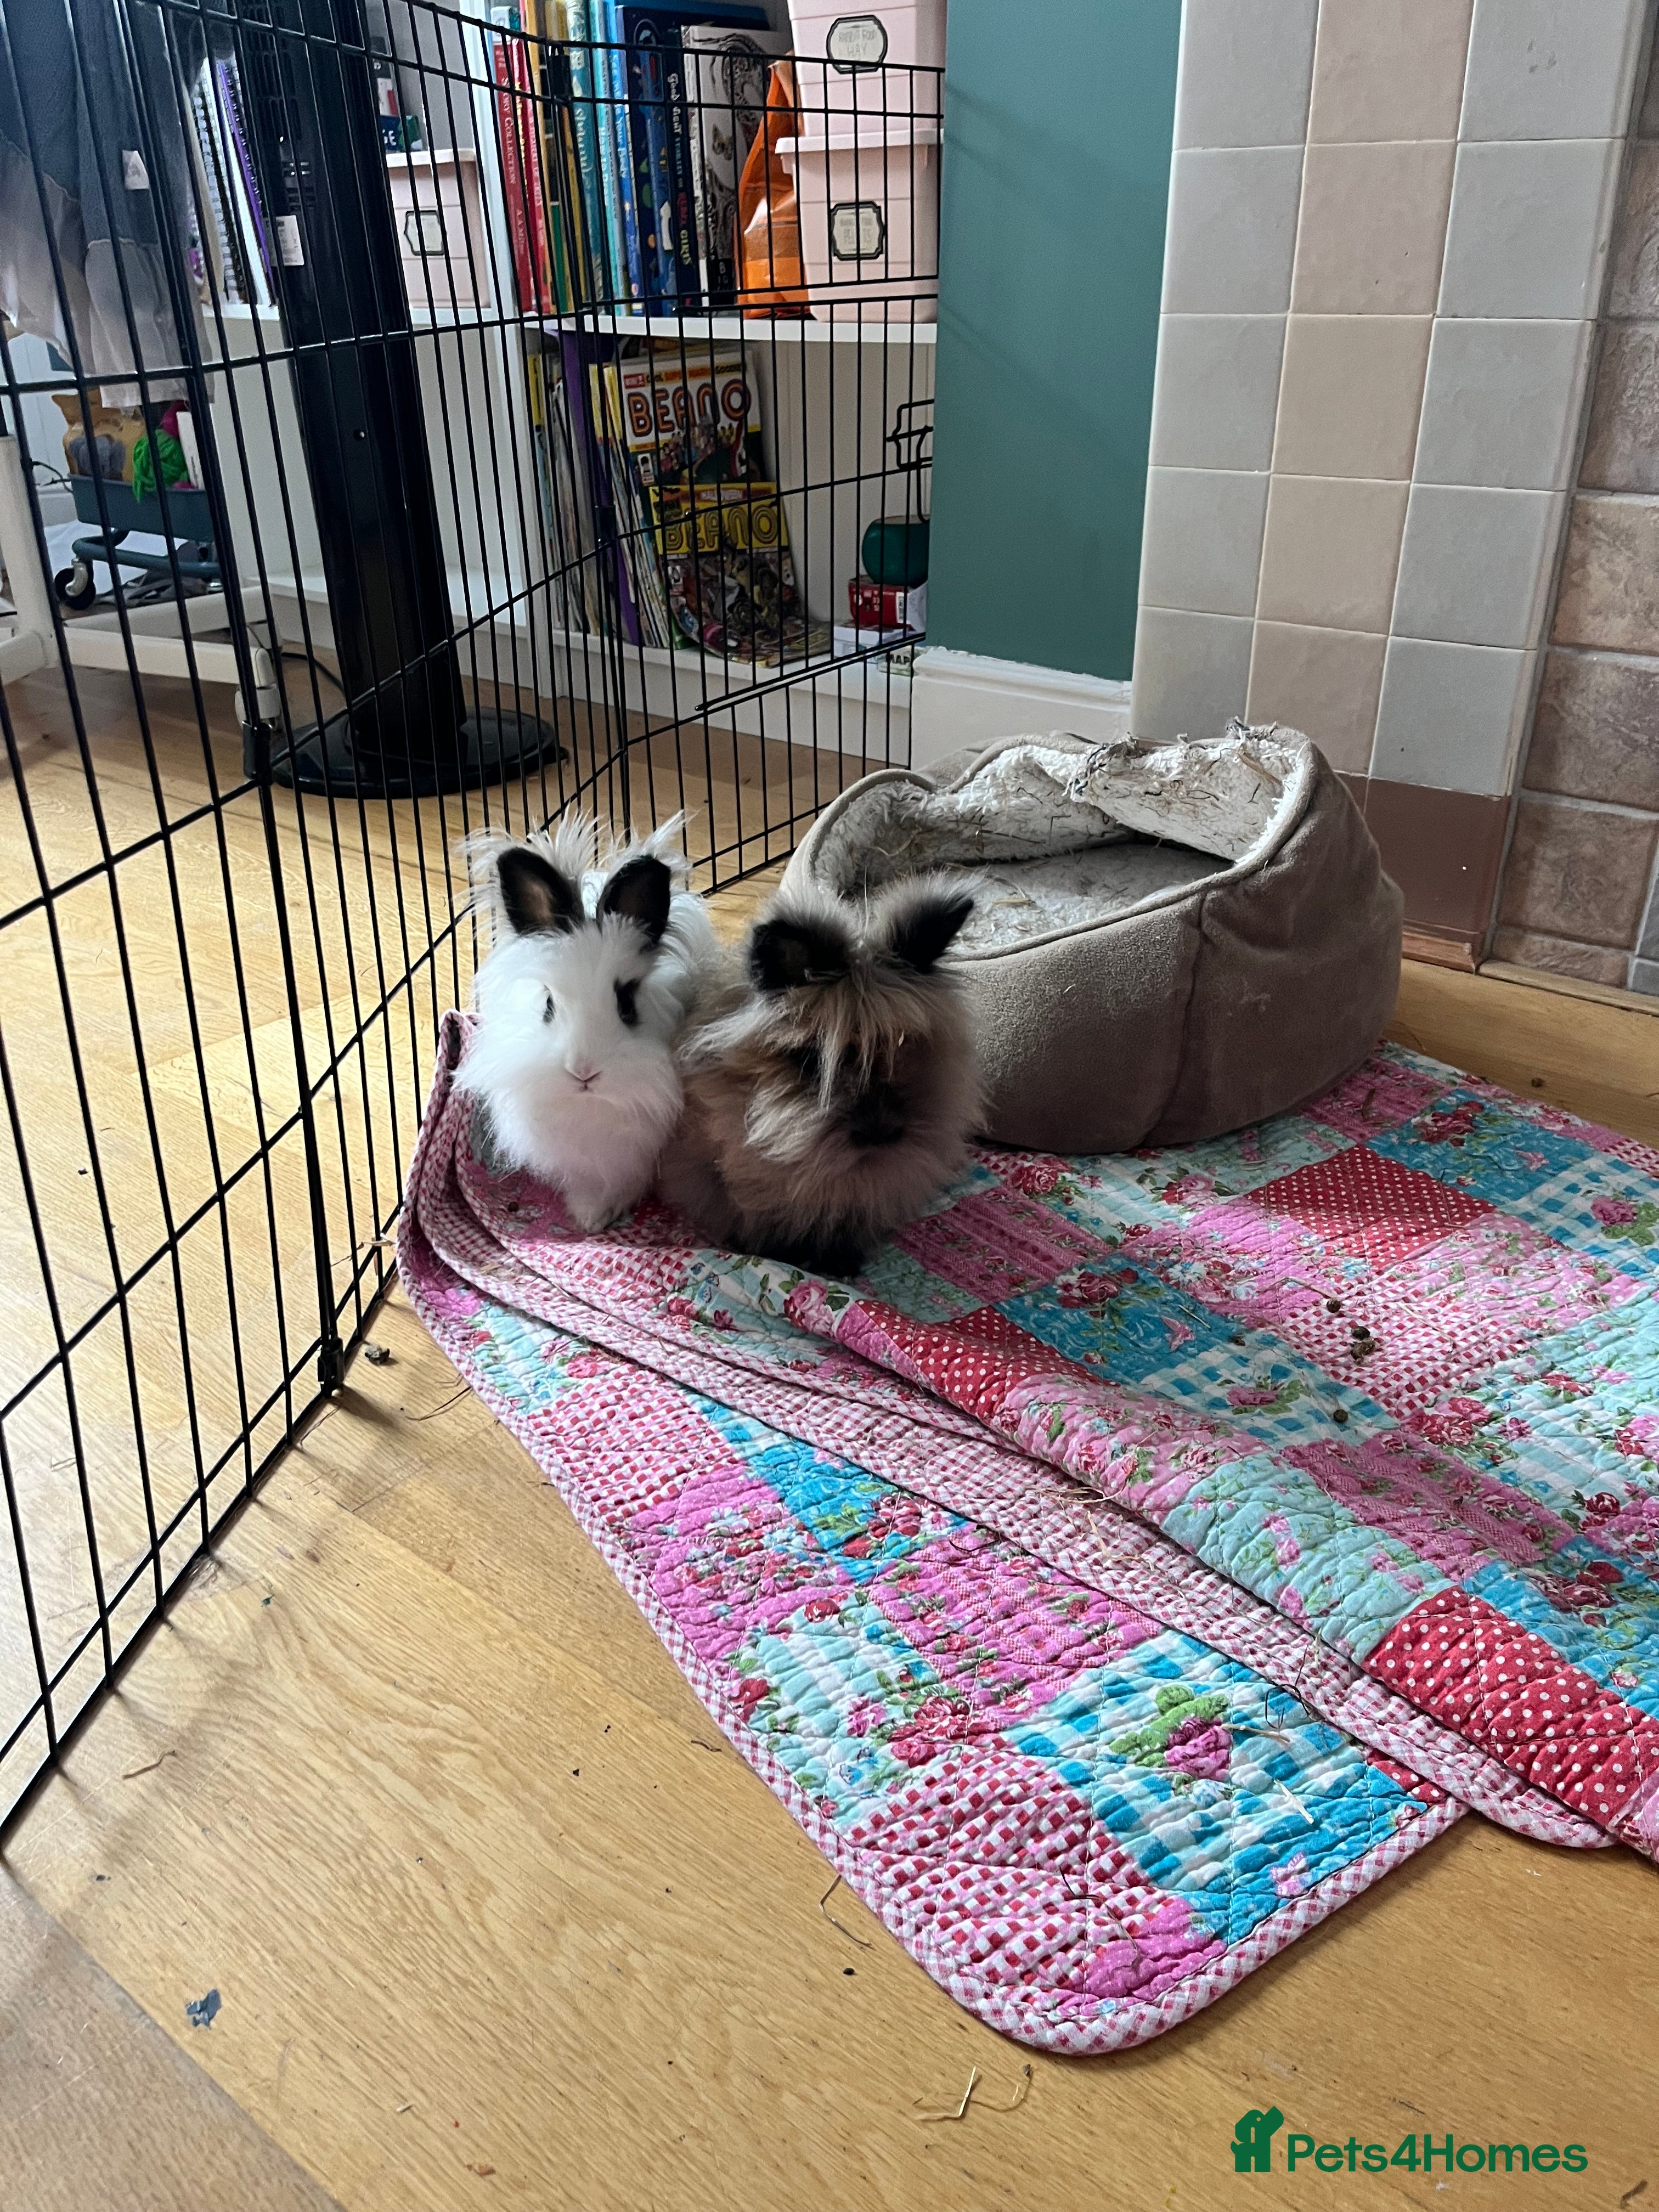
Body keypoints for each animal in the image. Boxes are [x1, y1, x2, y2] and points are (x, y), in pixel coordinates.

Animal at [458, 811, 718, 1230]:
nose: (583, 1072)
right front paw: (587, 1215)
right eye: (548, 1004)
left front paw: (599, 1217)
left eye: (627, 1004)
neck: (591, 1108)